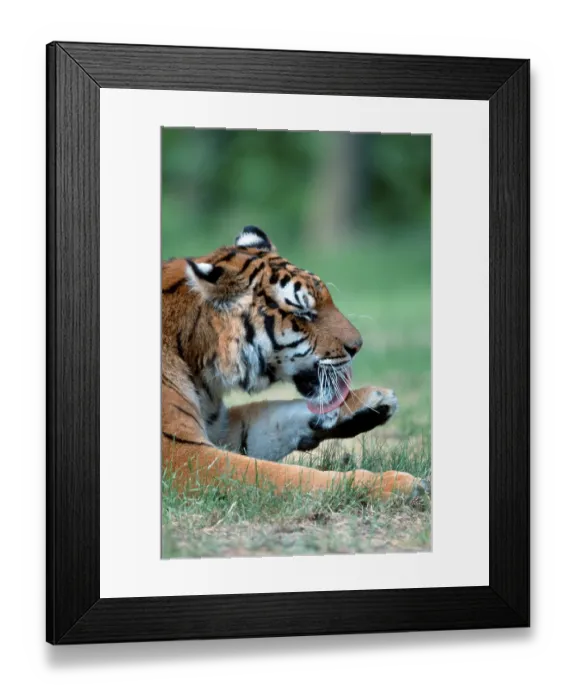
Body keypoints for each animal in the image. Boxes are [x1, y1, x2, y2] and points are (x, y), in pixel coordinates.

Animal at [162, 225, 427, 501]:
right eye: (304, 313)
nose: (357, 345)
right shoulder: (182, 454)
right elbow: (286, 475)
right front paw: (395, 483)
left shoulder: (221, 428)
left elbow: (276, 412)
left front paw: (372, 400)